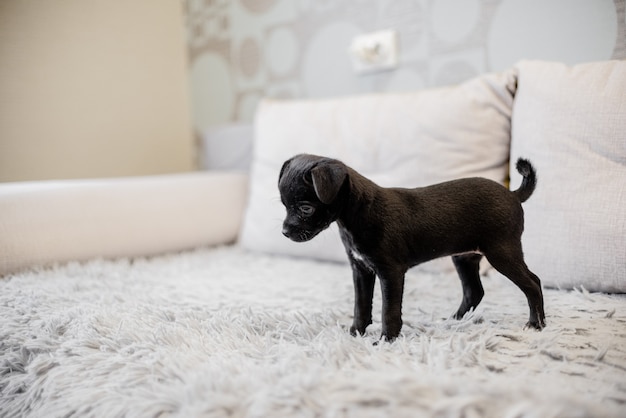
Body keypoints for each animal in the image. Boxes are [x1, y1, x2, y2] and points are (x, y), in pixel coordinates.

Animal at [276, 155, 540, 342]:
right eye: (284, 205)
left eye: (306, 209)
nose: (285, 232)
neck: (358, 213)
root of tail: (513, 194)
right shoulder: (361, 270)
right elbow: (361, 306)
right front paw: (355, 334)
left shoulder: (390, 273)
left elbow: (389, 311)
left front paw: (386, 340)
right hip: (464, 257)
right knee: (474, 291)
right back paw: (454, 321)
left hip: (501, 253)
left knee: (533, 282)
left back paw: (536, 324)